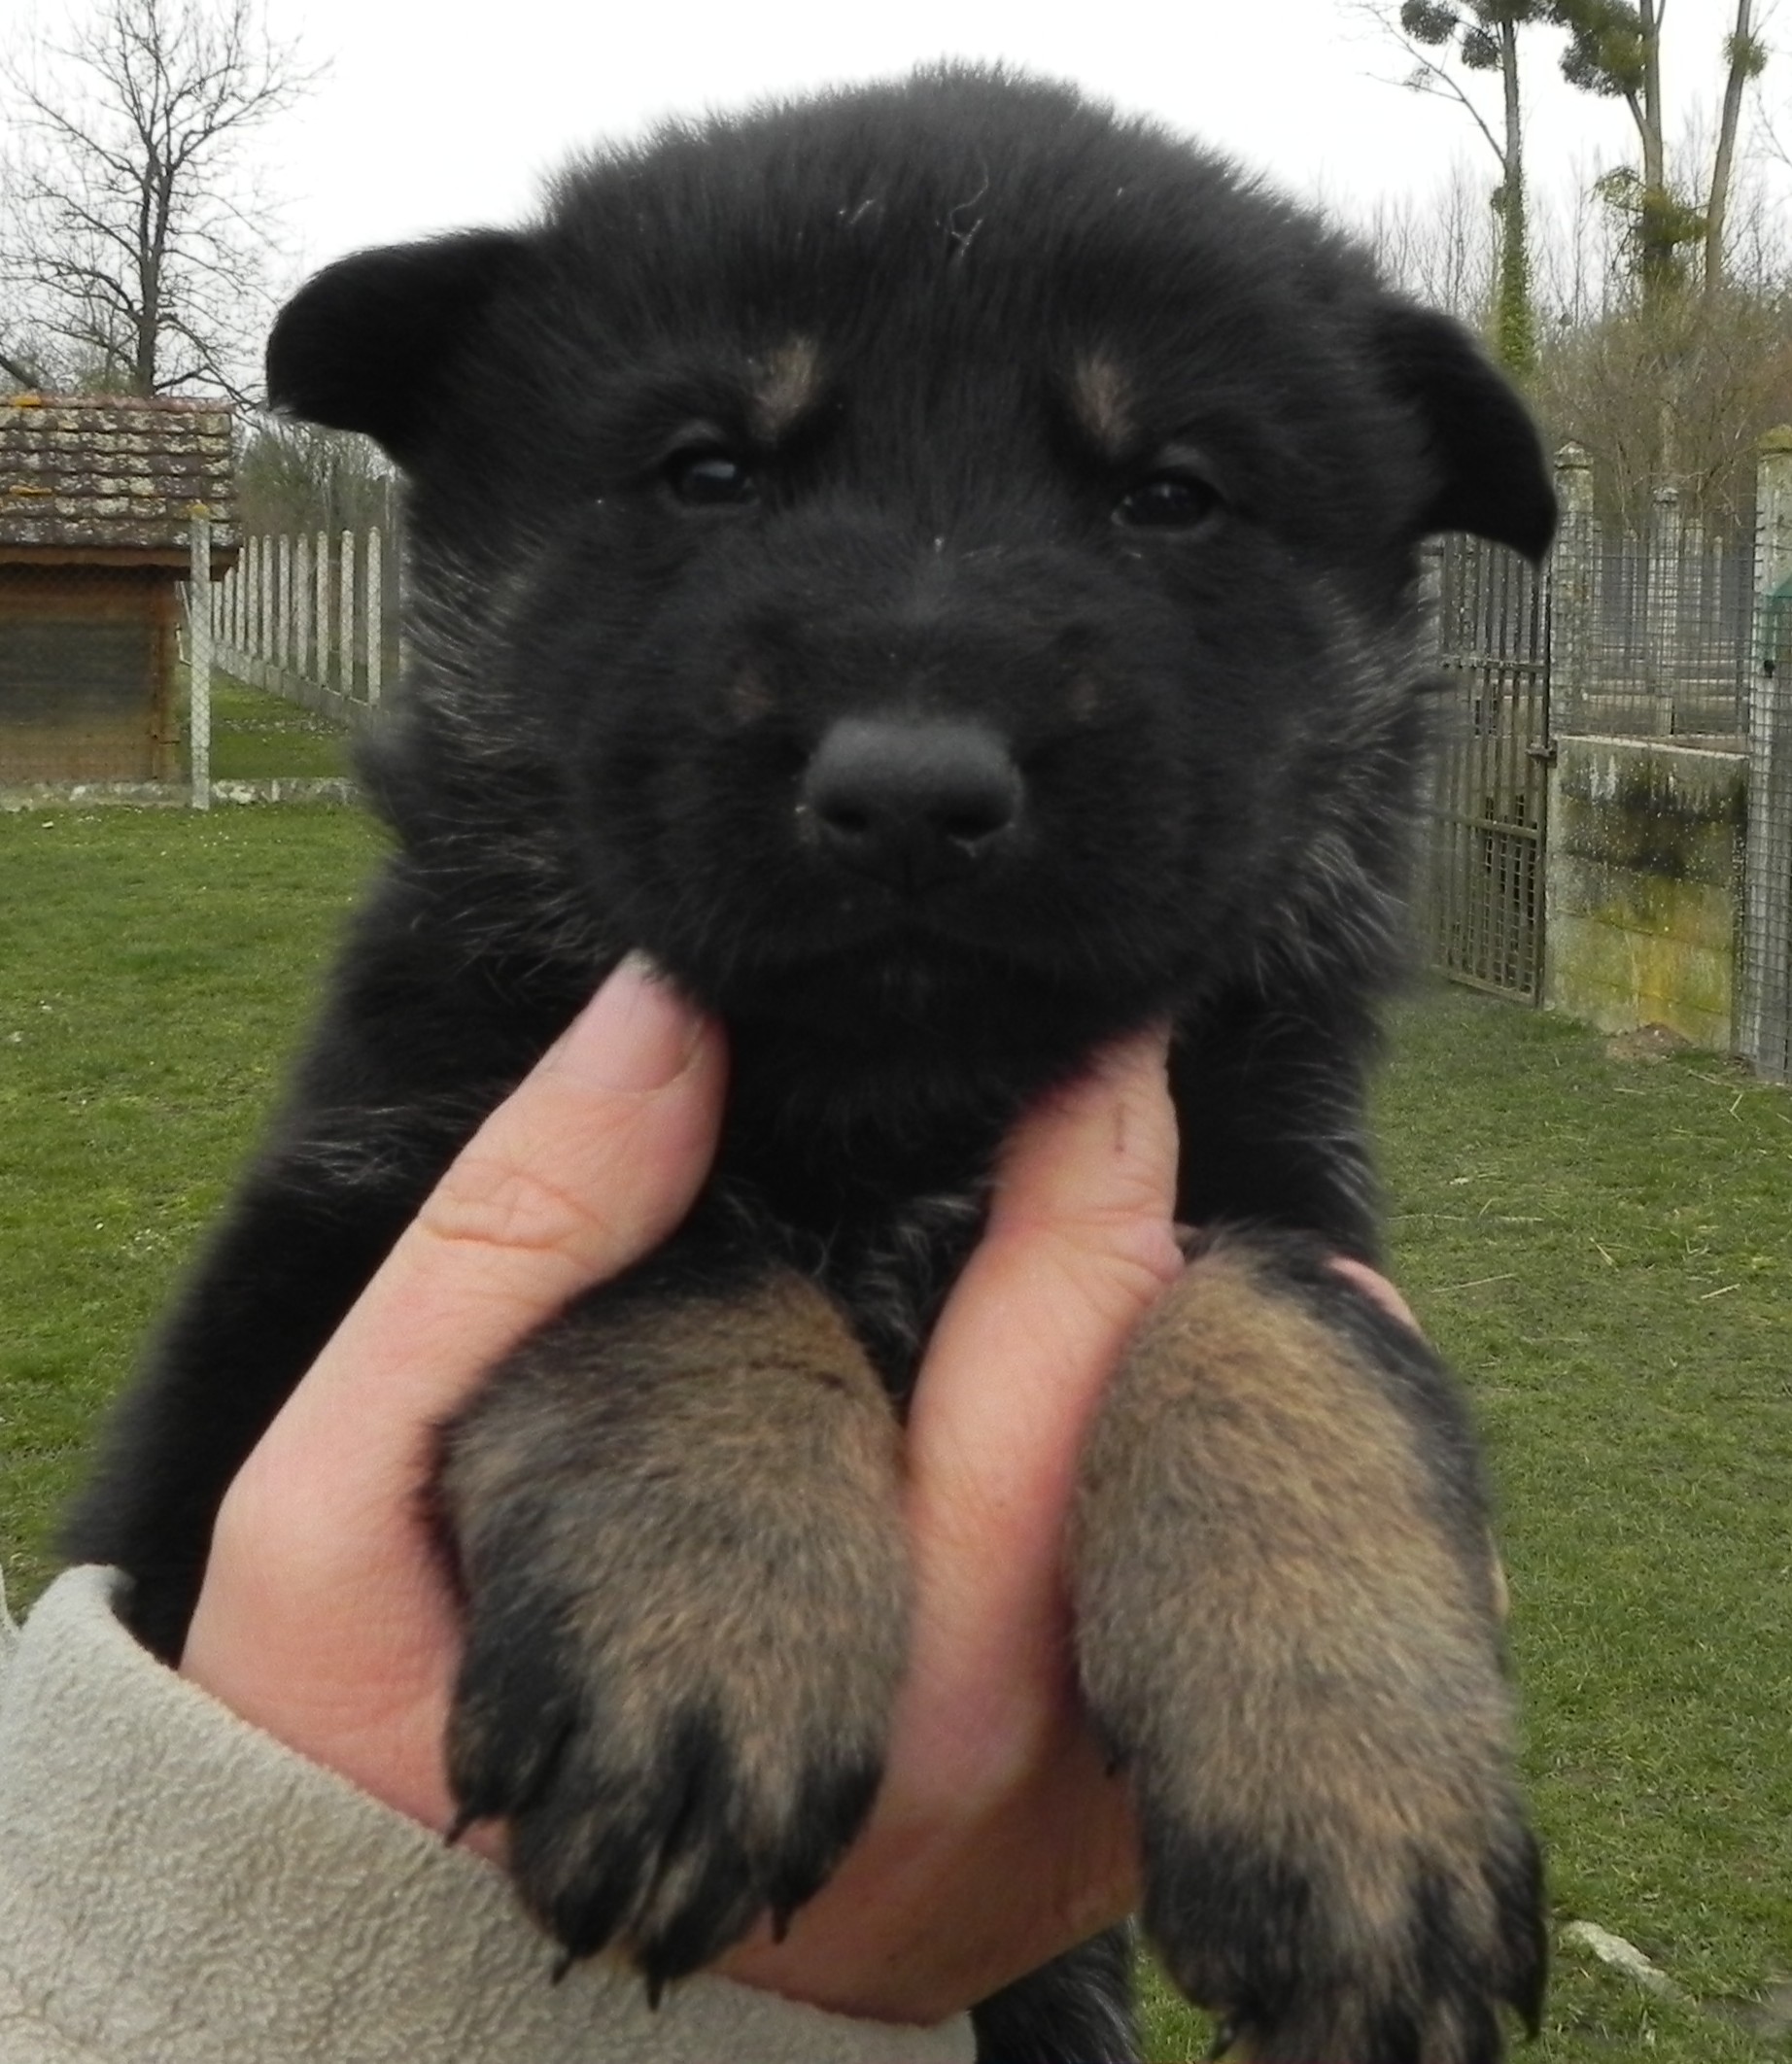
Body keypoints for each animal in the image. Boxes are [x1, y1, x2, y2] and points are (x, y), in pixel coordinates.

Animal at [68, 66, 1556, 2063]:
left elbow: (1284, 1332)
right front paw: (709, 1609)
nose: (911, 793)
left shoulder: (1285, 1171)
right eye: (709, 471)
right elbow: (673, 1260)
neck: (894, 1105)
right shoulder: (364, 1209)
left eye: (1171, 495)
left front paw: (1352, 1777)